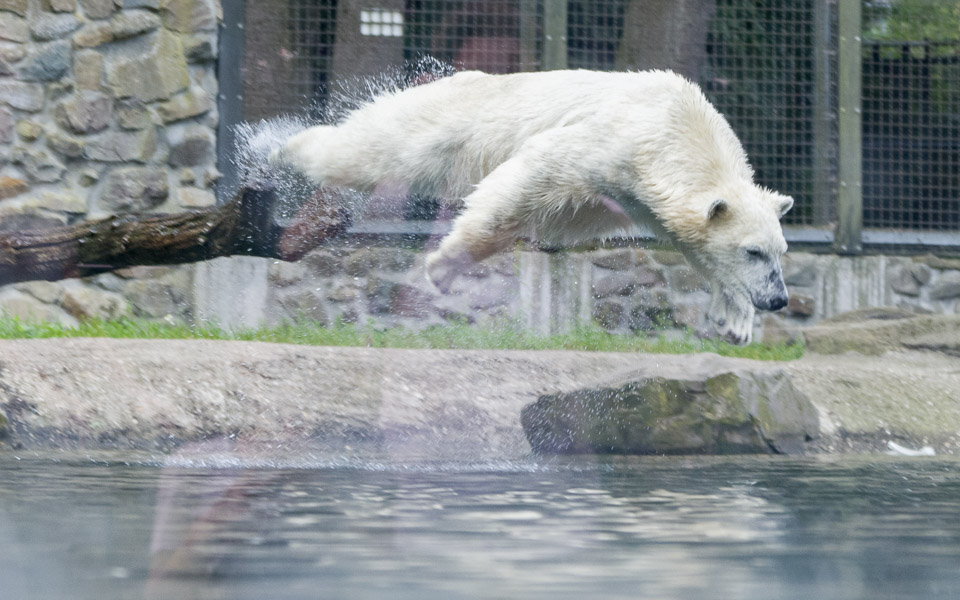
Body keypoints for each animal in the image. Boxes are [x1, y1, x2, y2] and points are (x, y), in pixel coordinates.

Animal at [270, 69, 793, 344]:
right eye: (753, 251)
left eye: (779, 252)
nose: (779, 299)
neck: (679, 128)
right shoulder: (614, 145)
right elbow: (529, 178)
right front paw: (443, 266)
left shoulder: (649, 193)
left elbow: (691, 243)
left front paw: (736, 321)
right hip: (441, 123)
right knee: (370, 150)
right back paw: (277, 145)